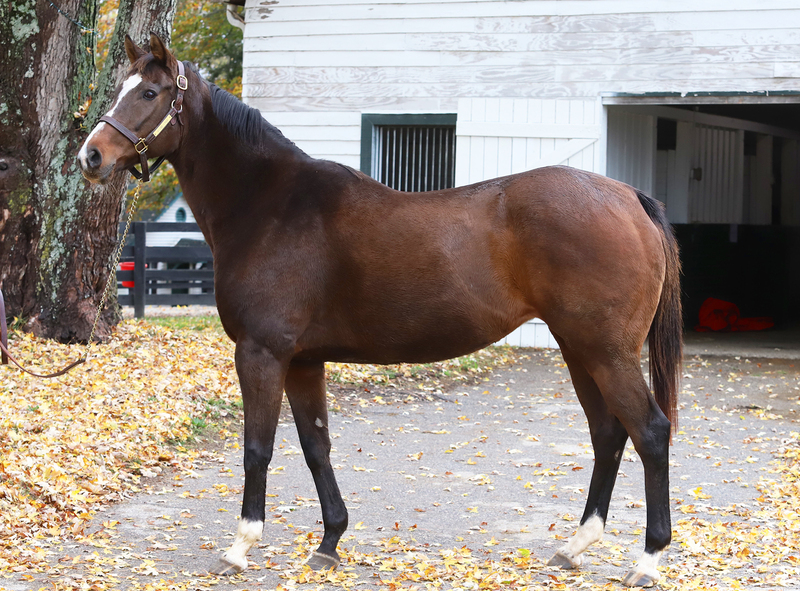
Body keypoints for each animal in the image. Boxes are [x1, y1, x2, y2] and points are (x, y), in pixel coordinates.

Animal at [79, 35, 680, 588]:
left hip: (605, 352)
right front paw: (328, 543)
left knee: (650, 431)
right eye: (122, 88)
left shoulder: (261, 353)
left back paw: (647, 558)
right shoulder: (303, 361)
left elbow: (258, 448)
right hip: (580, 350)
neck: (271, 207)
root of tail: (627, 197)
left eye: (150, 93)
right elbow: (316, 446)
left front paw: (240, 545)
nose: (91, 156)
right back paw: (575, 546)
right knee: (608, 433)